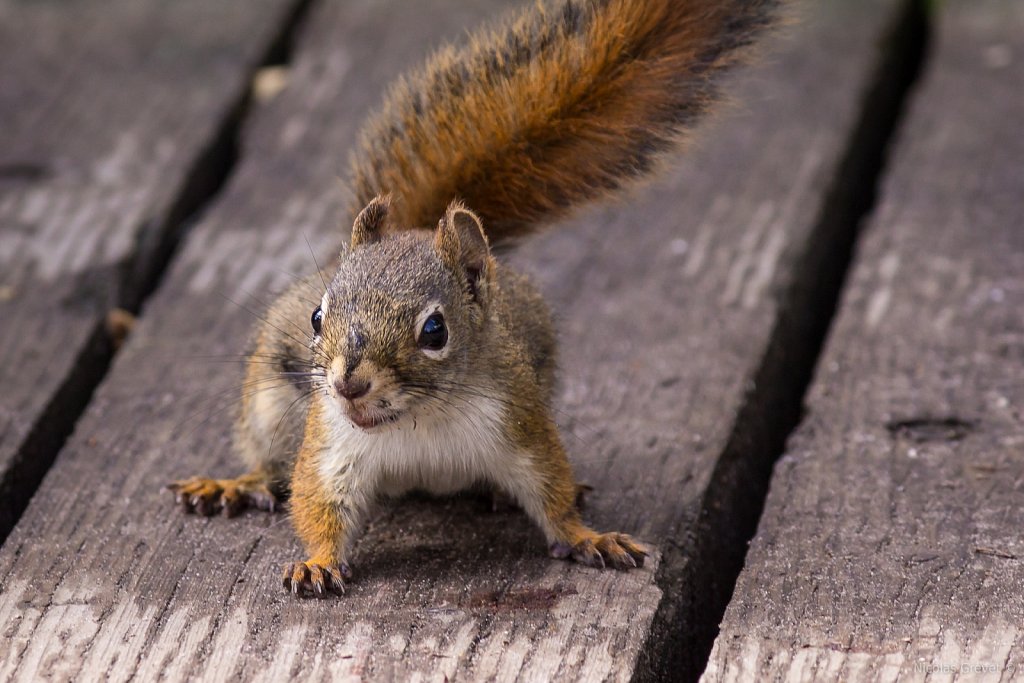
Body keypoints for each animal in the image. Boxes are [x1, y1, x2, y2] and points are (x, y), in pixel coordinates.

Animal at [167, 0, 778, 598]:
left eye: (434, 331)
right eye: (318, 317)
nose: (348, 384)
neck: (419, 420)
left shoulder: (521, 421)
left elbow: (551, 491)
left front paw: (589, 535)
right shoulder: (331, 444)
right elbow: (318, 503)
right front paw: (317, 563)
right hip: (269, 402)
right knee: (268, 462)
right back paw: (233, 483)